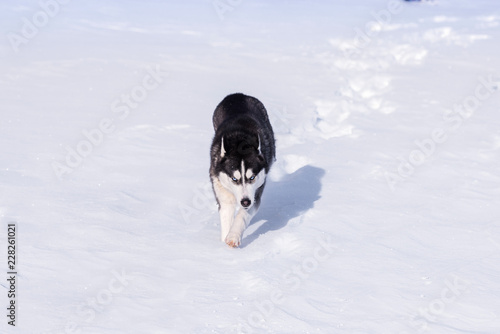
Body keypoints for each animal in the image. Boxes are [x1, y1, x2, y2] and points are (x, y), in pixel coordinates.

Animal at [209, 92, 276, 247]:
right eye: (234, 179)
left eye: (252, 177)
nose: (245, 202)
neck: (239, 140)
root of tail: (237, 95)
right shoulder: (222, 190)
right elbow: (227, 214)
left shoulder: (255, 194)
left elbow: (242, 216)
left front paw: (233, 236)